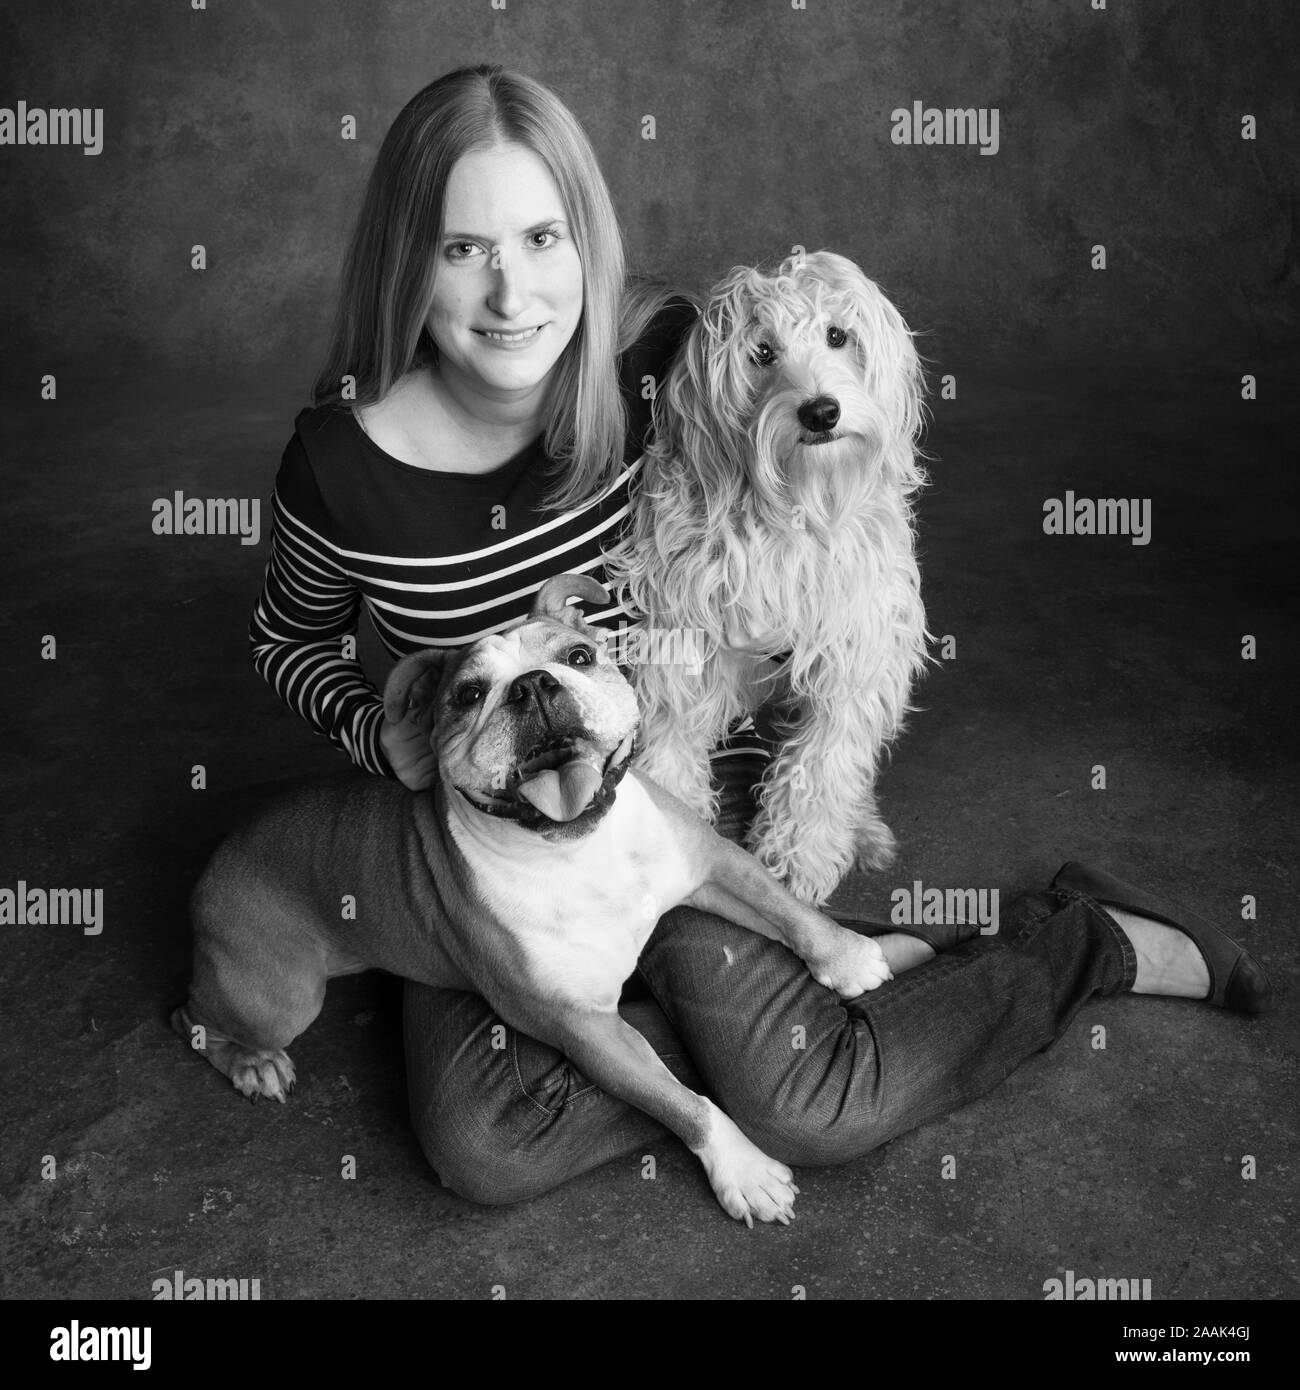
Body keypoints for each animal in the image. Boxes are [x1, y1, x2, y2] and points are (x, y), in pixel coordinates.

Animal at [606, 248, 928, 906]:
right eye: (761, 353)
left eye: (838, 336)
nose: (821, 411)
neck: (794, 504)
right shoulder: (681, 636)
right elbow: (672, 735)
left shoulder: (853, 652)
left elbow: (823, 764)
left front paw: (798, 858)